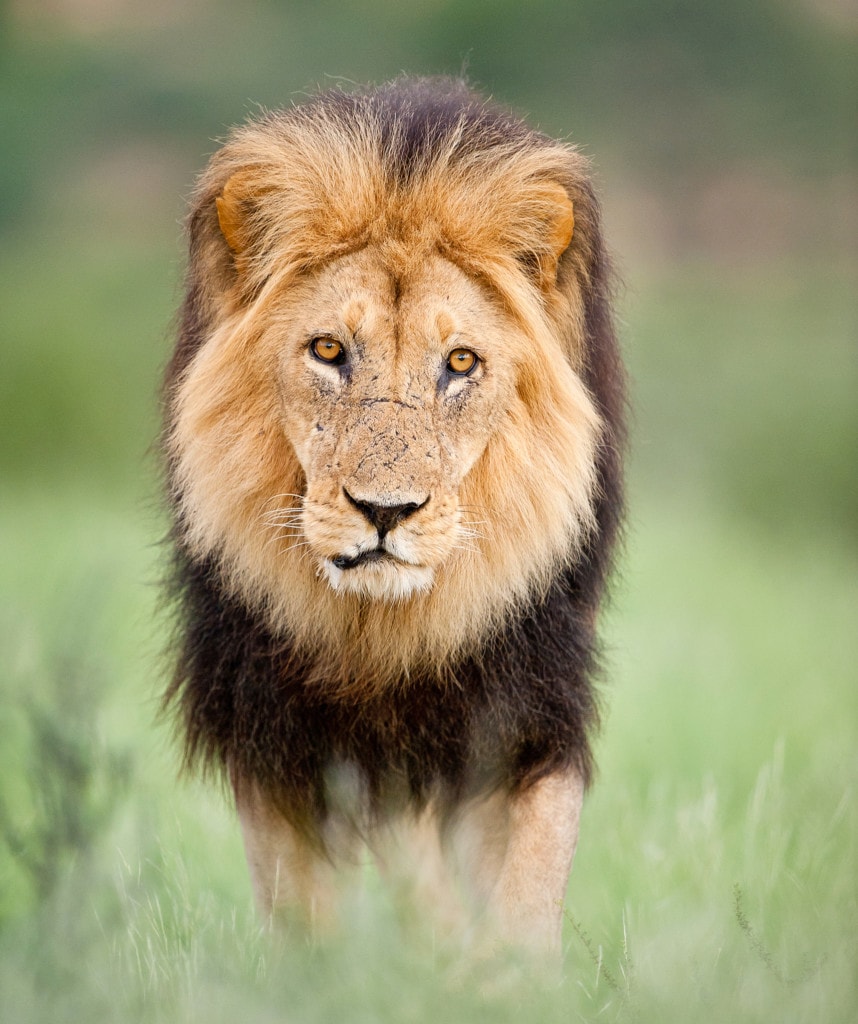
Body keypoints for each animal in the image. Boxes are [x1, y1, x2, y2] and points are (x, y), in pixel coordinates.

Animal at [163, 77, 624, 956]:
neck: (383, 634)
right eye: (329, 352)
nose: (386, 512)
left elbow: (532, 868)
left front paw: (504, 969)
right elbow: (315, 898)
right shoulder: (271, 722)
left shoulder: (529, 697)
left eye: (461, 363)